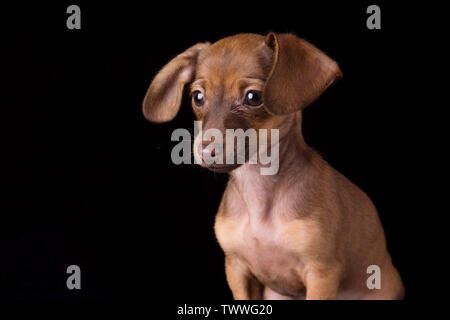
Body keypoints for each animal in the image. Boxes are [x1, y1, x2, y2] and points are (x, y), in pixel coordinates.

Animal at [143, 33, 404, 300]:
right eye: (197, 97)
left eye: (253, 98)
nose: (205, 149)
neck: (259, 195)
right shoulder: (236, 268)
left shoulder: (321, 273)